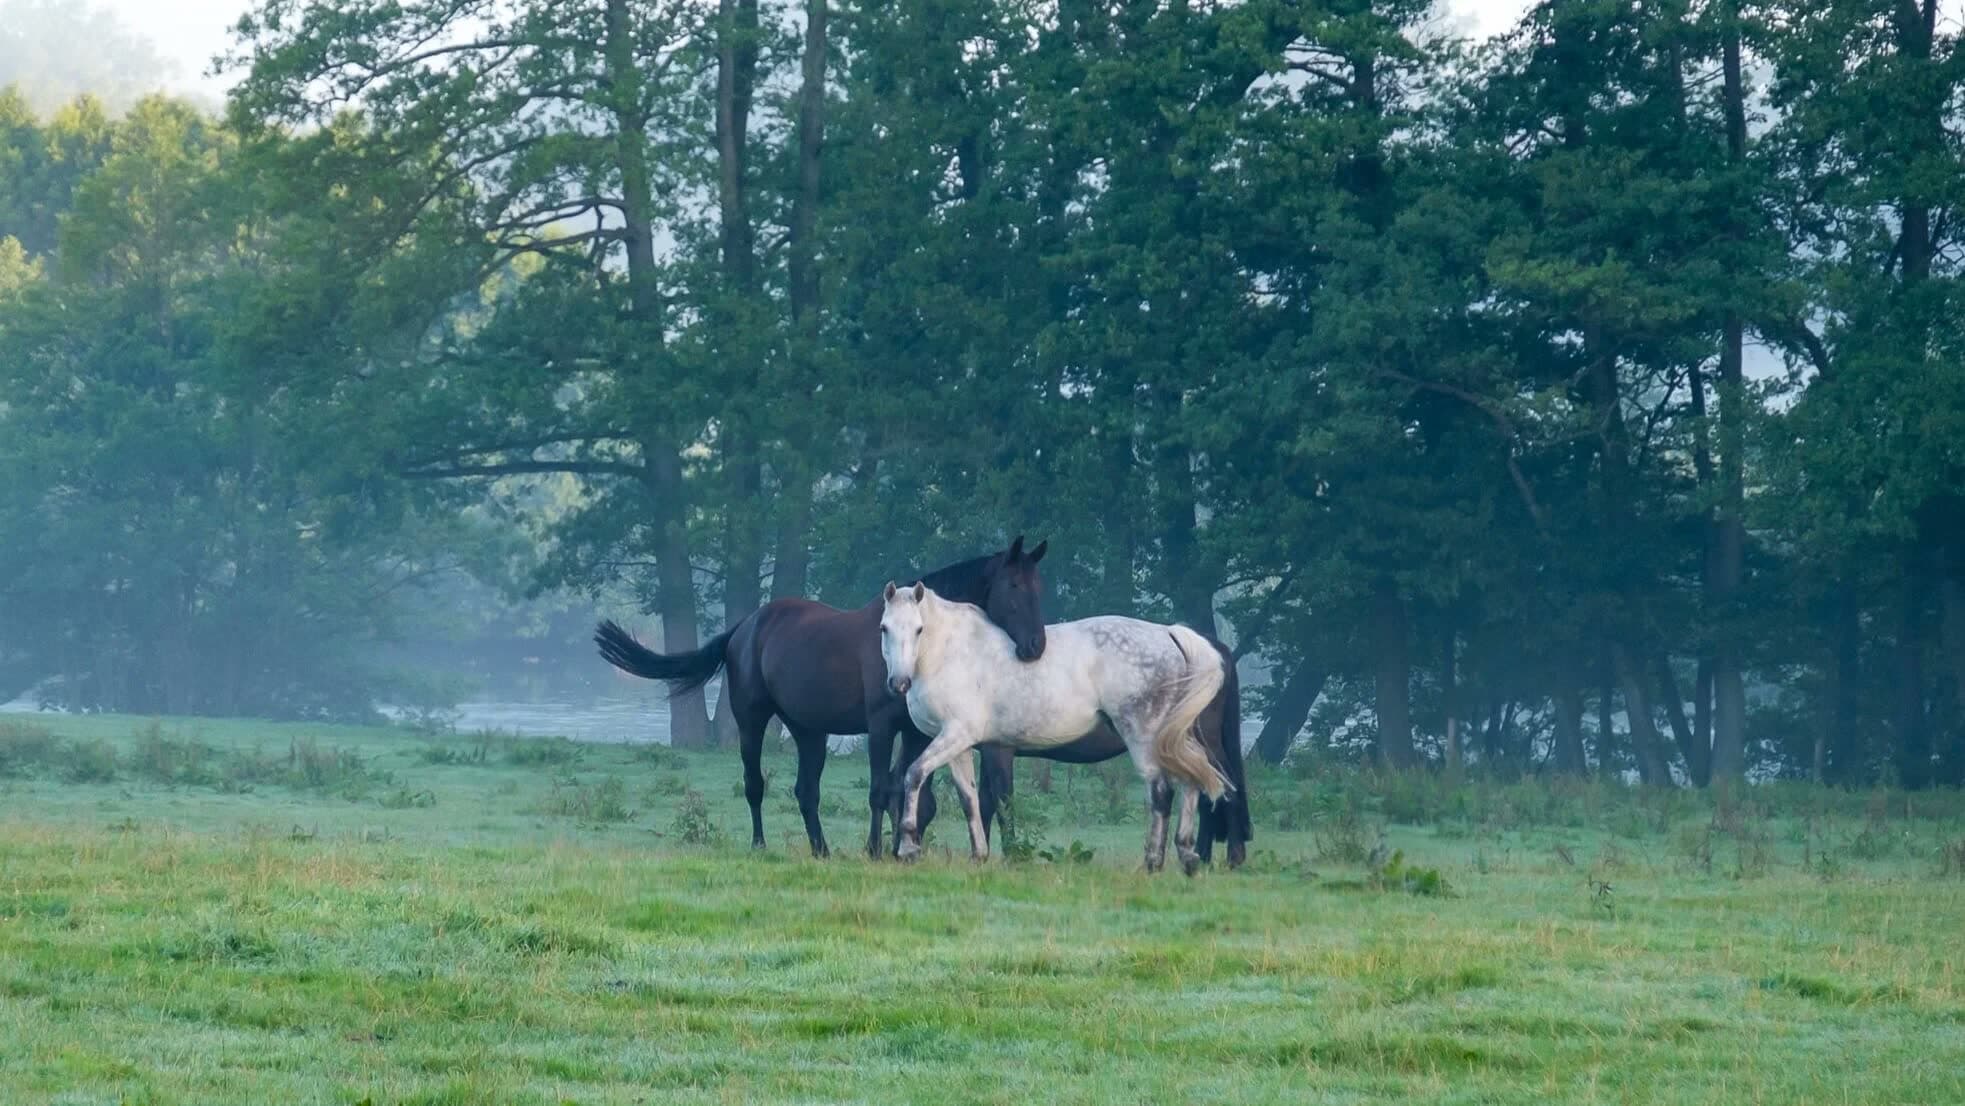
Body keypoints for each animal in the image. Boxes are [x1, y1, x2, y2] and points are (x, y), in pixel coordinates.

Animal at [594, 537, 1049, 858]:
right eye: (1012, 585)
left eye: (1038, 586)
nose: (1035, 646)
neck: (910, 643)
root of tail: (743, 628)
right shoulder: (880, 727)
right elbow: (880, 789)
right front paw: (875, 850)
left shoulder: (916, 732)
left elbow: (916, 794)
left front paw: (906, 846)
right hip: (751, 721)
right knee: (754, 784)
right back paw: (760, 845)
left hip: (809, 731)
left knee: (806, 792)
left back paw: (821, 849)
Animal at [972, 637, 1252, 867]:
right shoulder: (988, 752)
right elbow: (984, 801)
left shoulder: (998, 749)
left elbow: (1002, 801)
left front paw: (1010, 855)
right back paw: (1203, 857)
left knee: (1225, 789)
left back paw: (1232, 858)